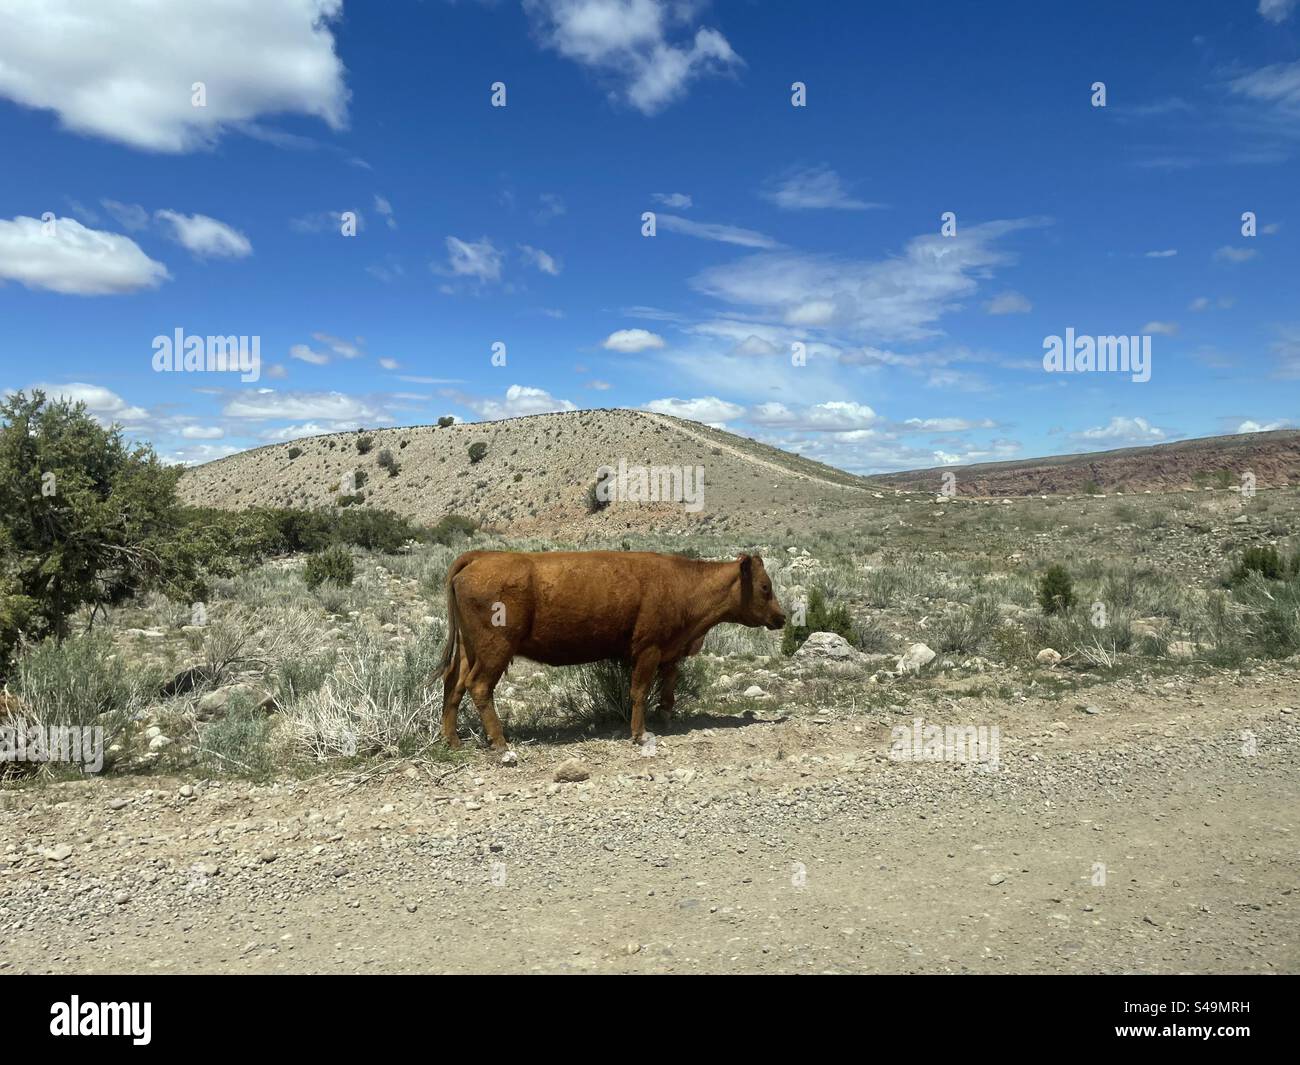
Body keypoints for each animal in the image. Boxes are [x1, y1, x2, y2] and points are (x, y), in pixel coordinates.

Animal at [438, 550, 786, 751]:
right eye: (765, 587)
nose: (781, 617)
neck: (683, 584)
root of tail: (479, 557)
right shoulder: (648, 650)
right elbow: (639, 691)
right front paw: (640, 734)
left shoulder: (670, 652)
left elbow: (669, 686)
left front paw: (665, 716)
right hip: (495, 650)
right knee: (478, 686)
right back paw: (500, 744)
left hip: (470, 650)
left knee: (454, 685)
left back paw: (452, 741)